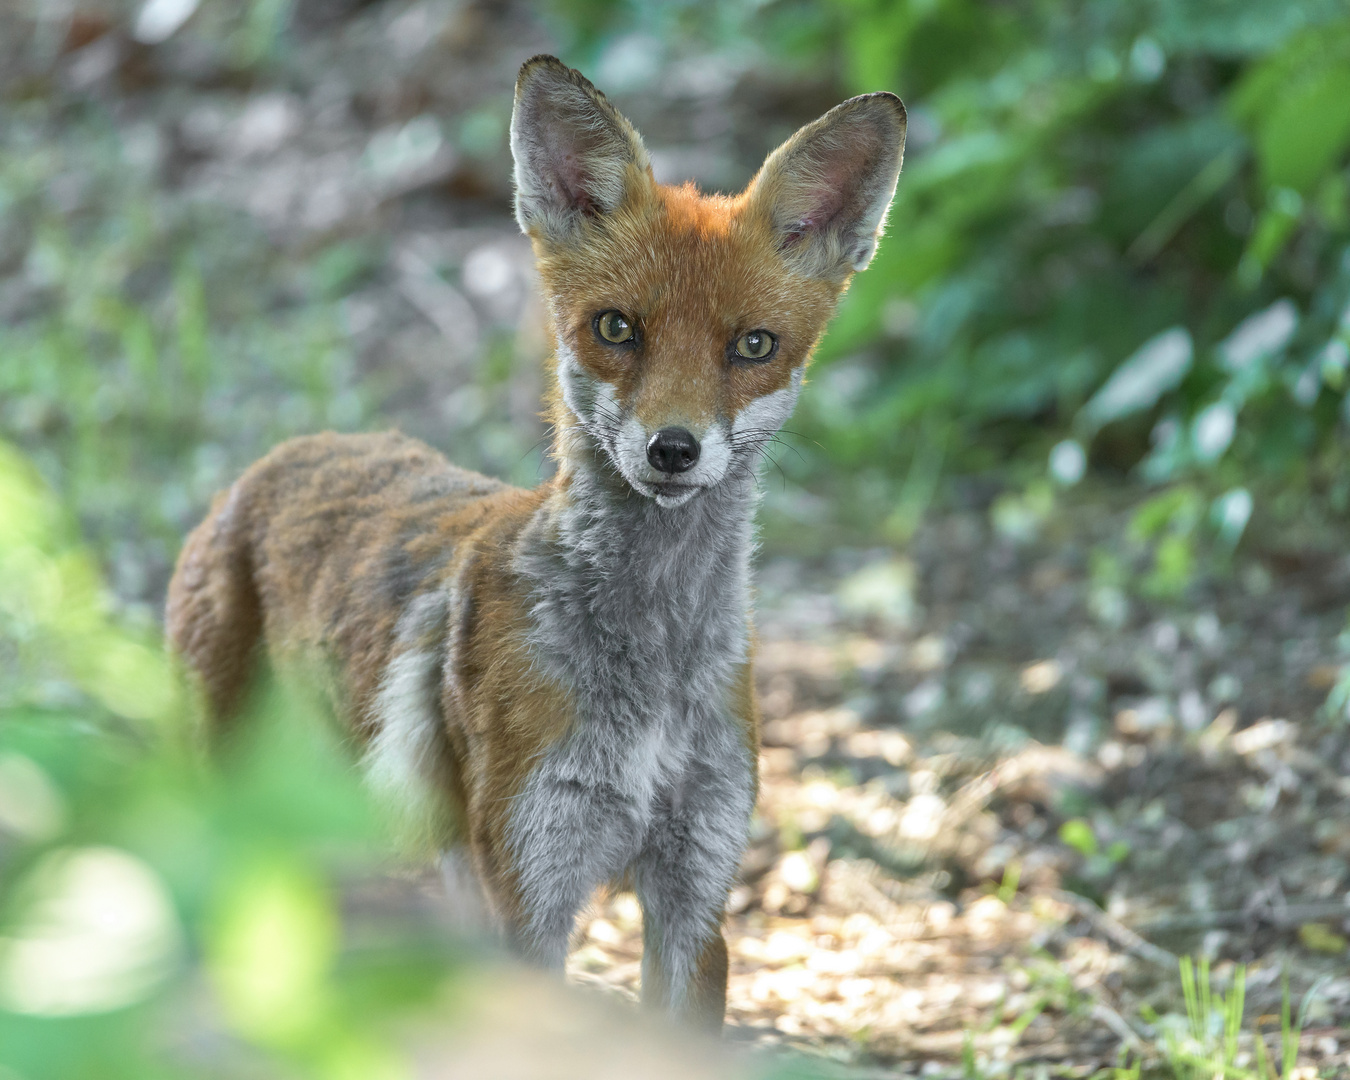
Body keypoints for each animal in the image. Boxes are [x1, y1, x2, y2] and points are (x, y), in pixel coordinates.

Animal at [168, 52, 907, 1031]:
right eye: (616, 327)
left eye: (753, 345)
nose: (673, 449)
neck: (651, 670)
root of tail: (277, 460)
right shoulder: (533, 889)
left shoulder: (695, 896)